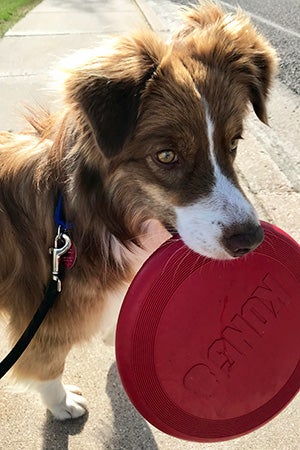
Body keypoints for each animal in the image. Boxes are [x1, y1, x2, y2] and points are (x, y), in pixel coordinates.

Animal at [0, 1, 276, 420]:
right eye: (166, 156)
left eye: (233, 143)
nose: (252, 240)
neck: (78, 214)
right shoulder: (45, 319)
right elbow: (48, 365)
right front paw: (62, 403)